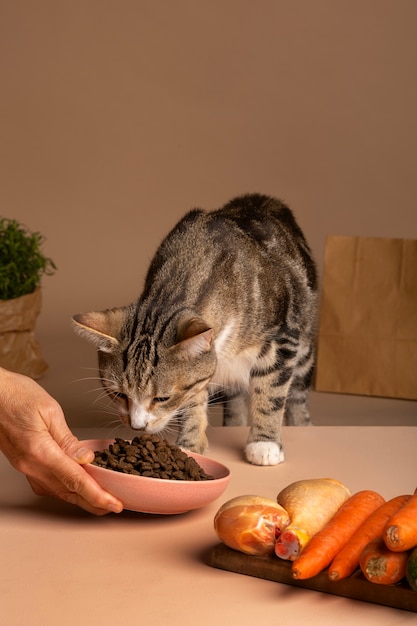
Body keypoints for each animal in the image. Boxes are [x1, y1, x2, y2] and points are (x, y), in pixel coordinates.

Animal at [73, 194, 316, 464]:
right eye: (118, 395)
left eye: (162, 399)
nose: (137, 426)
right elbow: (193, 400)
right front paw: (189, 445)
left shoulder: (281, 339)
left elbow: (271, 393)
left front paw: (264, 444)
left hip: (304, 344)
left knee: (296, 395)